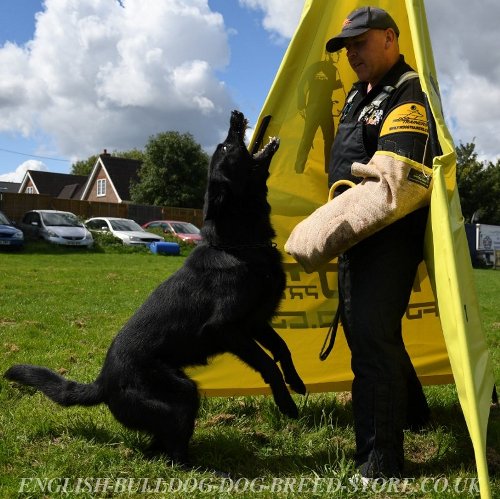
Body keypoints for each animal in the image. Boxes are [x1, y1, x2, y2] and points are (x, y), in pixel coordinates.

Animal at [5, 109, 306, 464]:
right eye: (225, 147)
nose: (235, 115)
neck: (238, 246)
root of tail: (102, 383)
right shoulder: (227, 329)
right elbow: (266, 363)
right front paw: (287, 404)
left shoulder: (256, 322)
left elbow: (282, 349)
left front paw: (297, 383)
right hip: (182, 392)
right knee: (172, 452)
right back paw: (203, 469)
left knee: (158, 446)